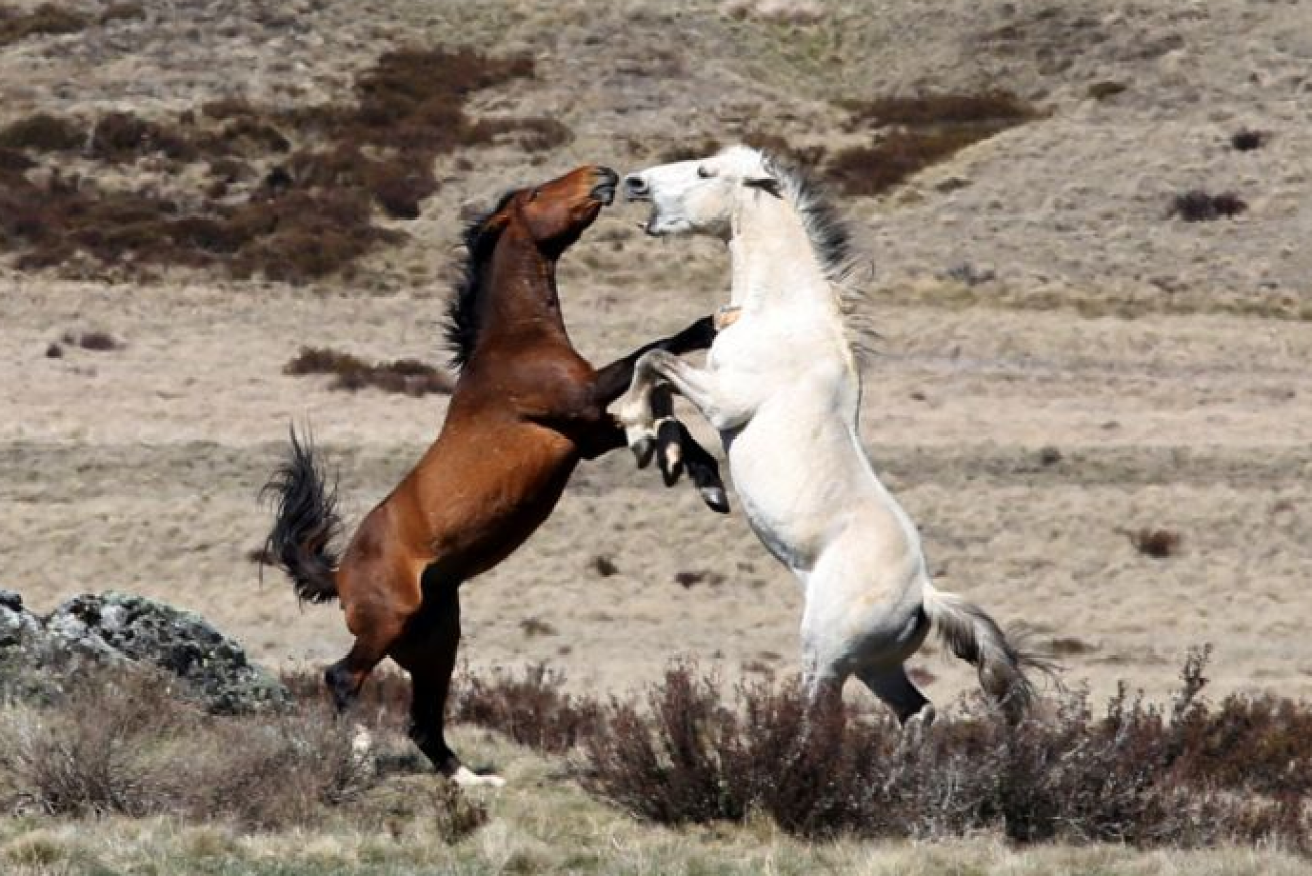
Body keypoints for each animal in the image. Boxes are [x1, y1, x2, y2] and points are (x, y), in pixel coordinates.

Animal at [259, 165, 724, 786]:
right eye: (535, 194)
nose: (602, 175)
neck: (515, 340)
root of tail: (339, 574)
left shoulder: (588, 432)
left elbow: (670, 418)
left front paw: (700, 477)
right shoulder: (580, 401)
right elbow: (651, 353)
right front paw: (712, 325)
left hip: (435, 645)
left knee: (423, 722)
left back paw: (473, 781)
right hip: (386, 624)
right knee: (342, 677)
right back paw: (357, 759)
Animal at [616, 145, 1044, 723]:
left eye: (706, 171)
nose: (635, 182)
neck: (780, 314)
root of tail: (924, 596)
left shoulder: (726, 403)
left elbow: (654, 360)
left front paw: (639, 430)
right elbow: (661, 383)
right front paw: (672, 458)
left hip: (827, 657)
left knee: (822, 715)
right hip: (876, 667)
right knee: (919, 711)